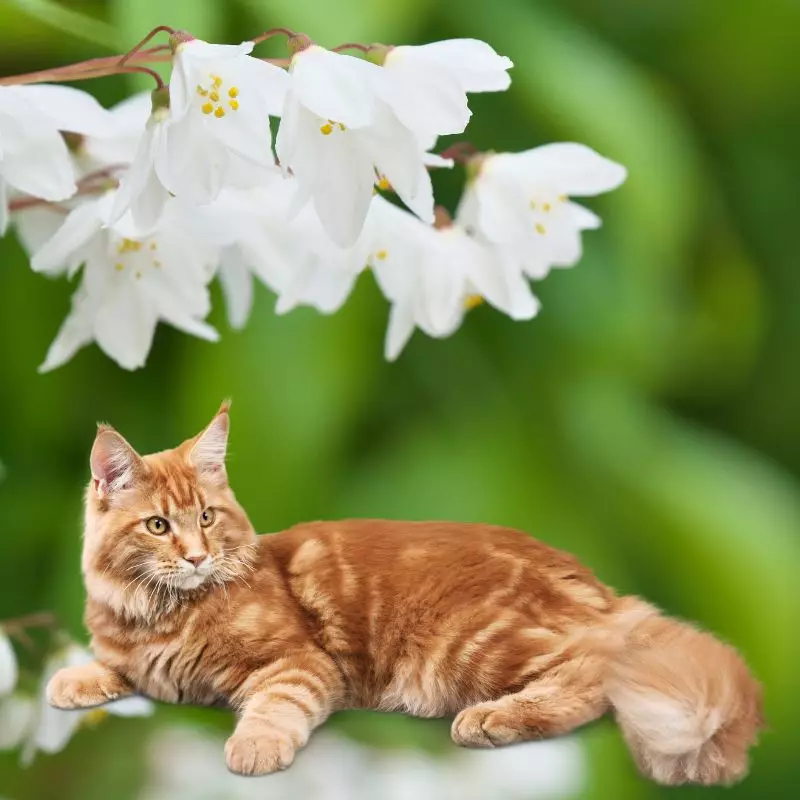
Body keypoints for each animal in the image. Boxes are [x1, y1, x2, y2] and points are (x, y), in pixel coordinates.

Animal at [45, 404, 764, 784]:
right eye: (159, 526)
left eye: (206, 518)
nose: (197, 557)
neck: (160, 616)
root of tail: (600, 589)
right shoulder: (138, 658)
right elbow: (111, 666)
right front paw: (70, 680)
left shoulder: (298, 663)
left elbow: (273, 707)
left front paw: (254, 748)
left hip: (471, 644)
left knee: (594, 675)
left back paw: (489, 720)